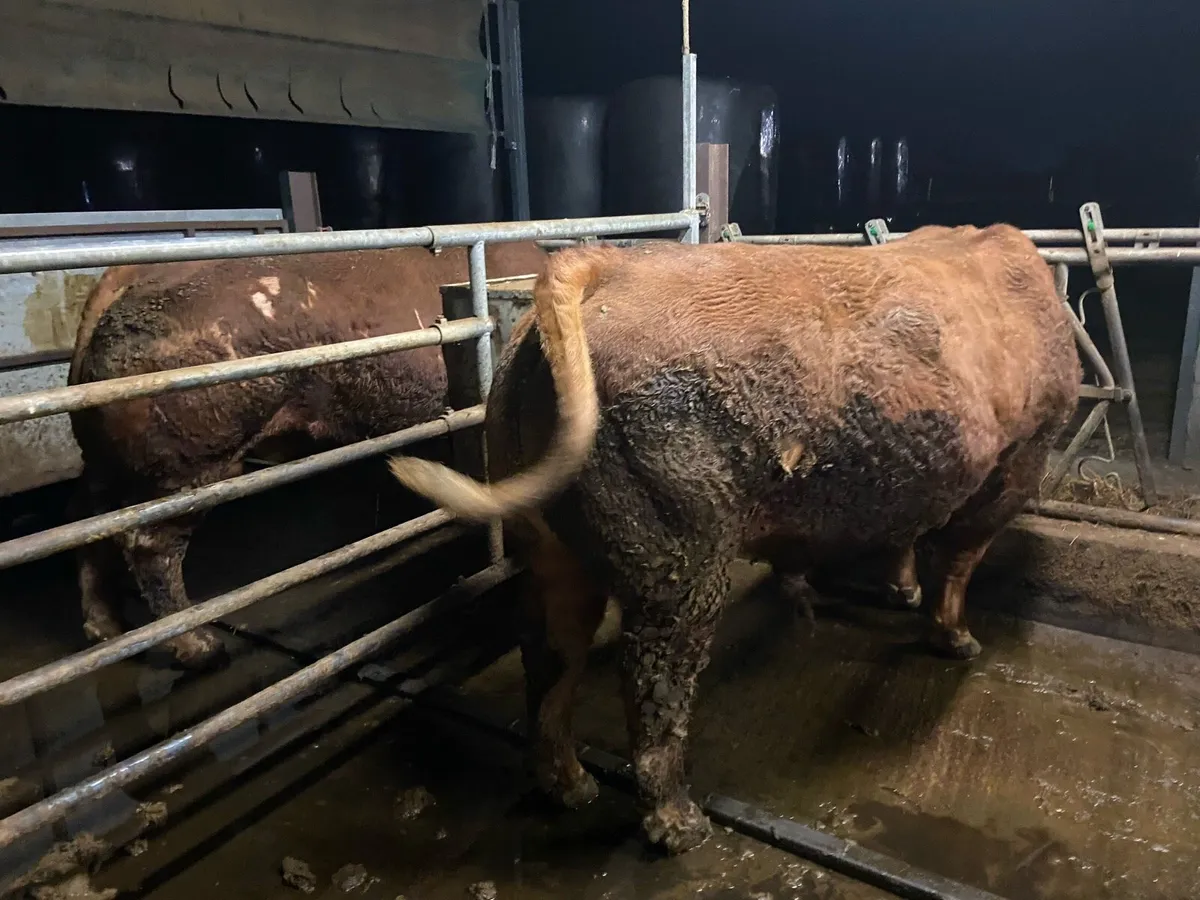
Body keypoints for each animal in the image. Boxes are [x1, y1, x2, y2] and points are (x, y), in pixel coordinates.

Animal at [69, 243, 547, 668]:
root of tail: (117, 282)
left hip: (109, 461)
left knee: (95, 526)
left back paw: (104, 629)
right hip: (191, 458)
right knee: (149, 547)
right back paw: (203, 650)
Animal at [387, 226, 1082, 854]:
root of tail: (607, 267)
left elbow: (907, 537)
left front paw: (899, 591)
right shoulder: (1020, 458)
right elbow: (958, 558)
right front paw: (957, 639)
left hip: (549, 546)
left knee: (552, 656)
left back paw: (570, 785)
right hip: (682, 557)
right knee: (655, 681)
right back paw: (679, 824)